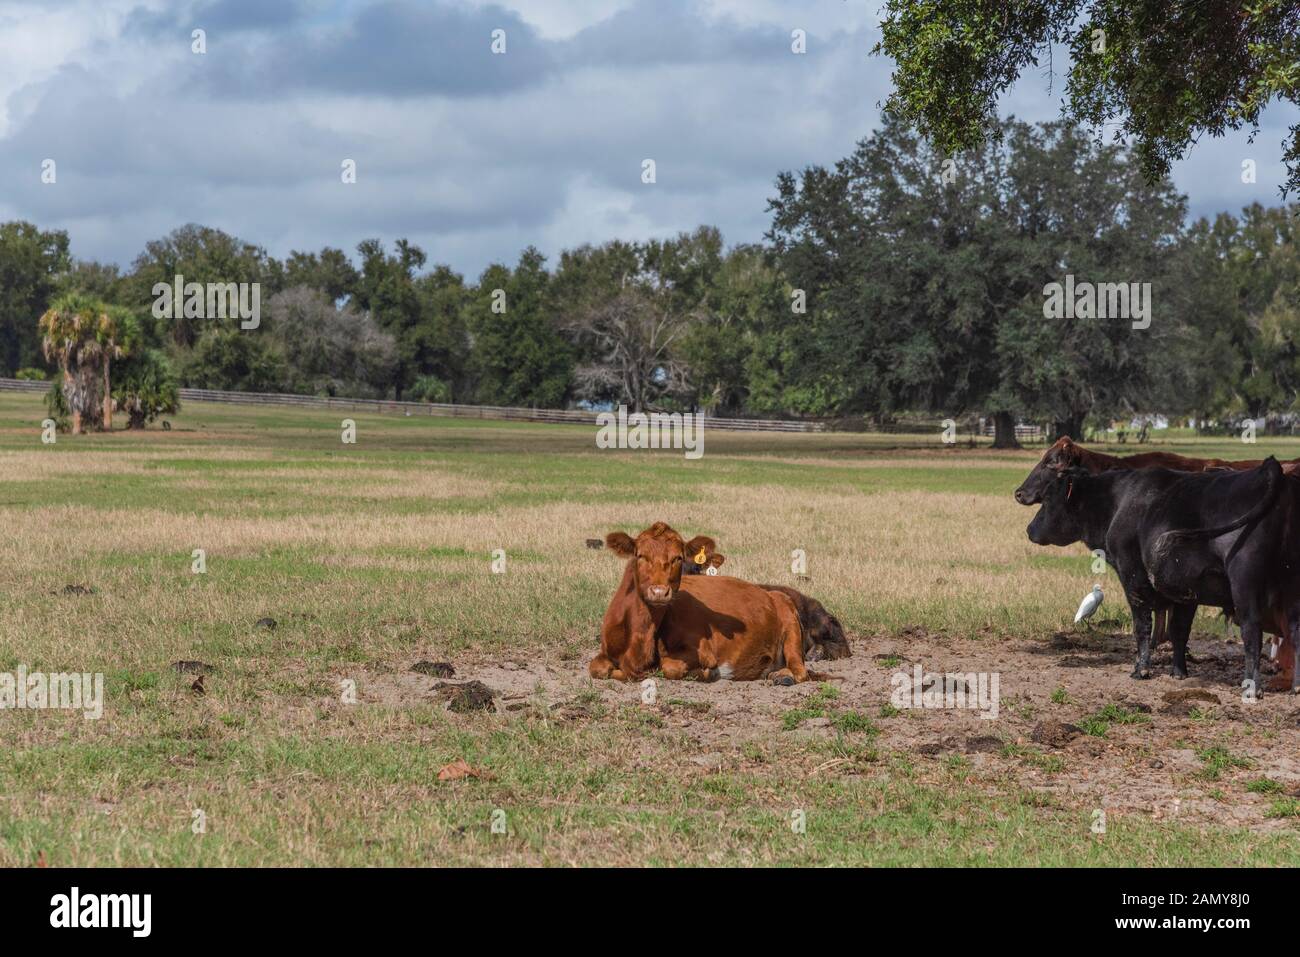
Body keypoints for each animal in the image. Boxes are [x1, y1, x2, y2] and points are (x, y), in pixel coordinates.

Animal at [590, 522, 819, 684]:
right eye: (640, 555)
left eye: (678, 558)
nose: (659, 592)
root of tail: (772, 593)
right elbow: (596, 668)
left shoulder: (703, 650)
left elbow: (670, 666)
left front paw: (707, 673)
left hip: (790, 627)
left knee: (800, 670)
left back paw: (783, 676)